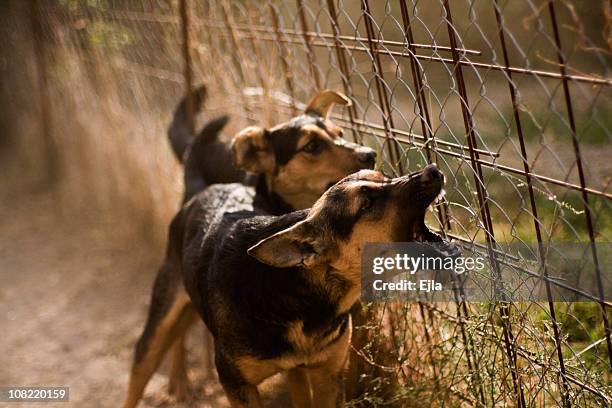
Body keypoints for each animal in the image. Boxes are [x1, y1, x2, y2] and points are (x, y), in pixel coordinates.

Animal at [122, 87, 376, 406]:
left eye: (340, 133)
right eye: (312, 146)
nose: (370, 154)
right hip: (168, 296)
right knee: (157, 345)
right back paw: (178, 378)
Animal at [126, 163, 448, 408]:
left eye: (384, 176)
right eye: (367, 203)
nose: (433, 170)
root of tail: (204, 190)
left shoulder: (327, 375)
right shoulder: (237, 385)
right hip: (158, 324)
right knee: (142, 367)